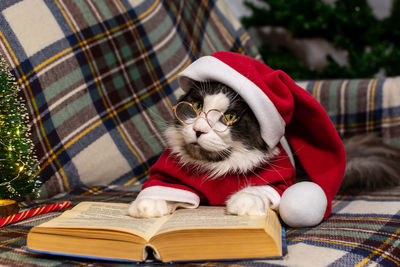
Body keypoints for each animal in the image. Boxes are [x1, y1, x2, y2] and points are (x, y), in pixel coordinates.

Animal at [128, 81, 400, 220]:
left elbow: (257, 189)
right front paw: (146, 206)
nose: (198, 130)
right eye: (195, 107)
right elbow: (165, 189)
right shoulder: (171, 176)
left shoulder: (278, 179)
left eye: (229, 117)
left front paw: (242, 203)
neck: (217, 167)